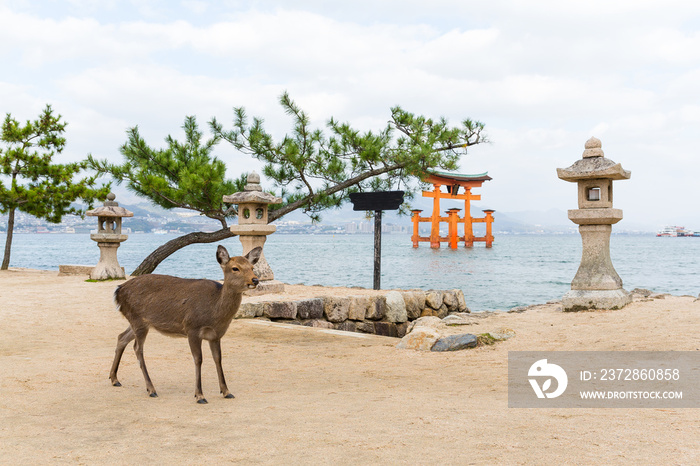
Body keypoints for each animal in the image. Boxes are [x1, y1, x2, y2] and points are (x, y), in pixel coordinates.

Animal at [109, 246, 262, 402]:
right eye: (235, 268)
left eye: (252, 267)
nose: (255, 280)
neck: (215, 312)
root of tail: (118, 291)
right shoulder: (192, 328)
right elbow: (198, 359)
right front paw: (199, 395)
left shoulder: (215, 335)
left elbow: (218, 359)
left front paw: (226, 391)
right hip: (138, 320)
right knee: (137, 348)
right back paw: (151, 389)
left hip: (138, 321)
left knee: (121, 337)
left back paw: (114, 379)